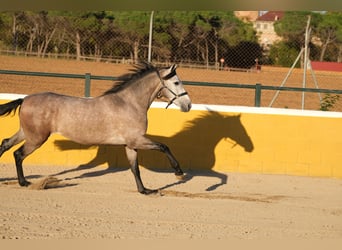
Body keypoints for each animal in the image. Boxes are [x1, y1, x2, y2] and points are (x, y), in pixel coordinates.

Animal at [0, 63, 192, 195]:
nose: (188, 105)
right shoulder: (137, 140)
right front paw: (179, 173)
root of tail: (25, 99)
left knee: (6, 145)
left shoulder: (130, 145)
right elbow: (163, 146)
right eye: (176, 82)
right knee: (18, 154)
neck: (130, 103)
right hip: (36, 138)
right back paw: (24, 182)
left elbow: (135, 168)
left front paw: (144, 190)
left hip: (26, 133)